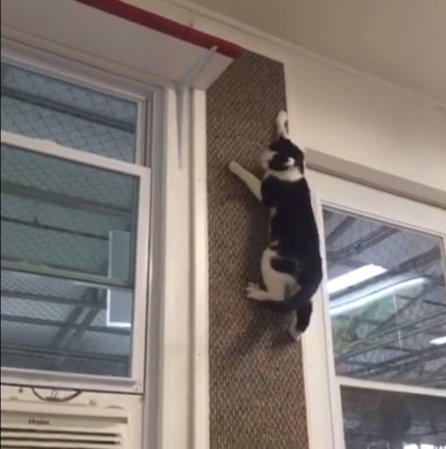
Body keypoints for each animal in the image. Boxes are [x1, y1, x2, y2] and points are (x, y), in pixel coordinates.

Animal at [228, 110, 322, 340]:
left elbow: (250, 178)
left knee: (279, 297)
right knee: (305, 307)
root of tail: (316, 271)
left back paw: (256, 293)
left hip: (271, 258)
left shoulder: (265, 192)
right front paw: (281, 118)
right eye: (271, 147)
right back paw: (295, 333)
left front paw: (235, 166)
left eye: (272, 159)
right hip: (299, 288)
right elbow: (285, 133)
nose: (262, 156)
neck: (293, 172)